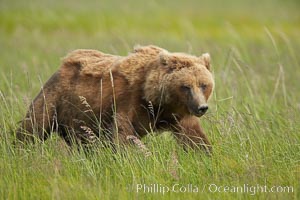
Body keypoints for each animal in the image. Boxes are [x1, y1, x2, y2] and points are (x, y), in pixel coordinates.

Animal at [15, 45, 213, 154]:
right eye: (186, 86)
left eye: (204, 85)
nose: (202, 107)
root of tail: (62, 64)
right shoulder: (126, 102)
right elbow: (125, 135)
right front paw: (141, 155)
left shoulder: (176, 114)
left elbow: (194, 135)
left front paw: (205, 154)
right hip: (56, 97)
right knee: (34, 126)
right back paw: (19, 148)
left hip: (79, 118)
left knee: (83, 142)